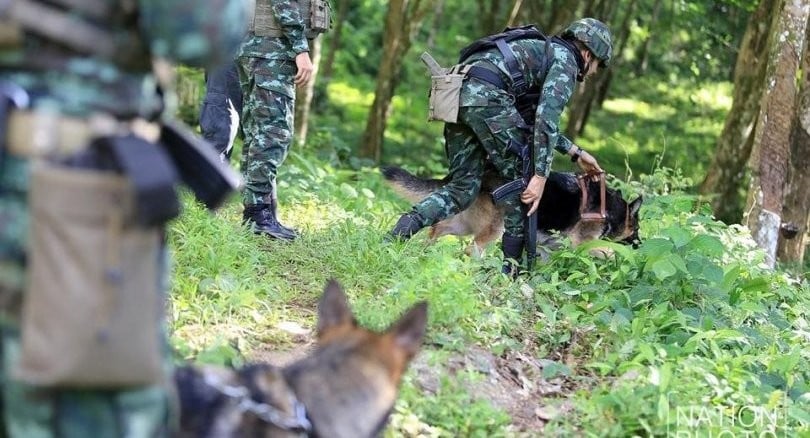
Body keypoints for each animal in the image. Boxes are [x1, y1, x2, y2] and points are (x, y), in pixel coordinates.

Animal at [382, 167, 640, 256]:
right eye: (637, 229)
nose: (640, 245)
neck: (610, 210)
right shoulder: (584, 241)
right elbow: (608, 250)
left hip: (464, 224)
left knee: (437, 227)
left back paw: (424, 250)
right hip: (494, 228)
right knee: (470, 248)